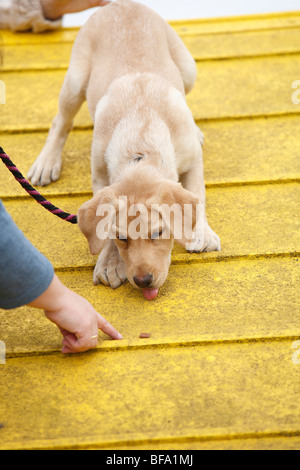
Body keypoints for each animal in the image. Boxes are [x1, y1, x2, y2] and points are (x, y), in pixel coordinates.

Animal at [28, 0, 220, 300]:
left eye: (159, 233)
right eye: (122, 238)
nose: (143, 281)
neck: (140, 148)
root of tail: (121, 3)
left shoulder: (192, 162)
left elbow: (197, 194)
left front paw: (202, 233)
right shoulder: (100, 174)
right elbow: (102, 223)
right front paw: (109, 261)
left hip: (188, 69)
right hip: (75, 80)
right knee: (61, 121)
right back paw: (47, 162)